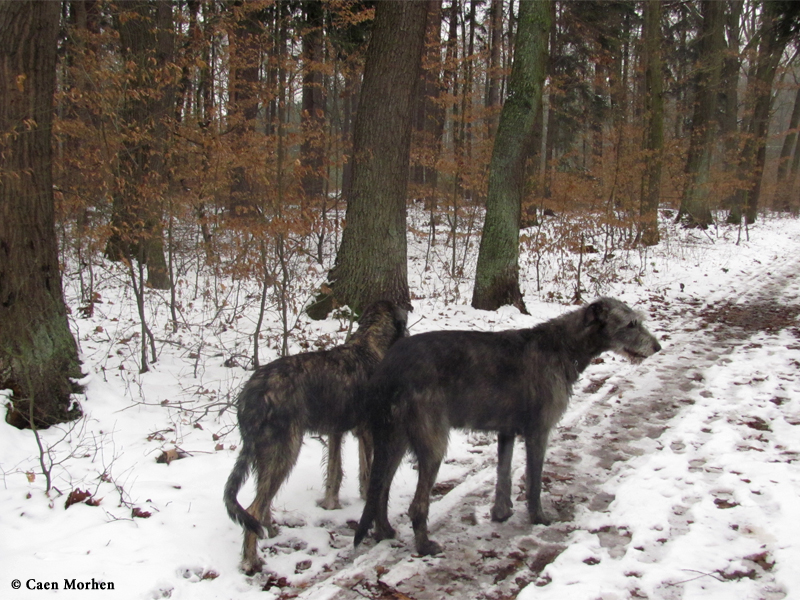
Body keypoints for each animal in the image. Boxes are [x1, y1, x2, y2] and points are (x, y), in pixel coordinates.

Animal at [225, 300, 410, 572]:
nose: (408, 337)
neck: (368, 342)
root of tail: (251, 392)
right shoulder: (368, 432)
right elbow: (367, 474)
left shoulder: (336, 431)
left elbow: (335, 471)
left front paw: (331, 504)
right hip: (285, 450)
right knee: (254, 507)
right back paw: (252, 560)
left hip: (265, 453)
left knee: (261, 500)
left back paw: (270, 531)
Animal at [354, 298, 660, 556]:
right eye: (631, 324)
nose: (657, 347)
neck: (562, 346)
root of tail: (390, 366)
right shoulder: (539, 431)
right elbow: (534, 480)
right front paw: (539, 518)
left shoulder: (506, 431)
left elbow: (504, 475)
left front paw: (501, 513)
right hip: (431, 442)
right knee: (416, 504)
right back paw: (424, 545)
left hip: (393, 438)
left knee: (380, 489)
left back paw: (384, 532)